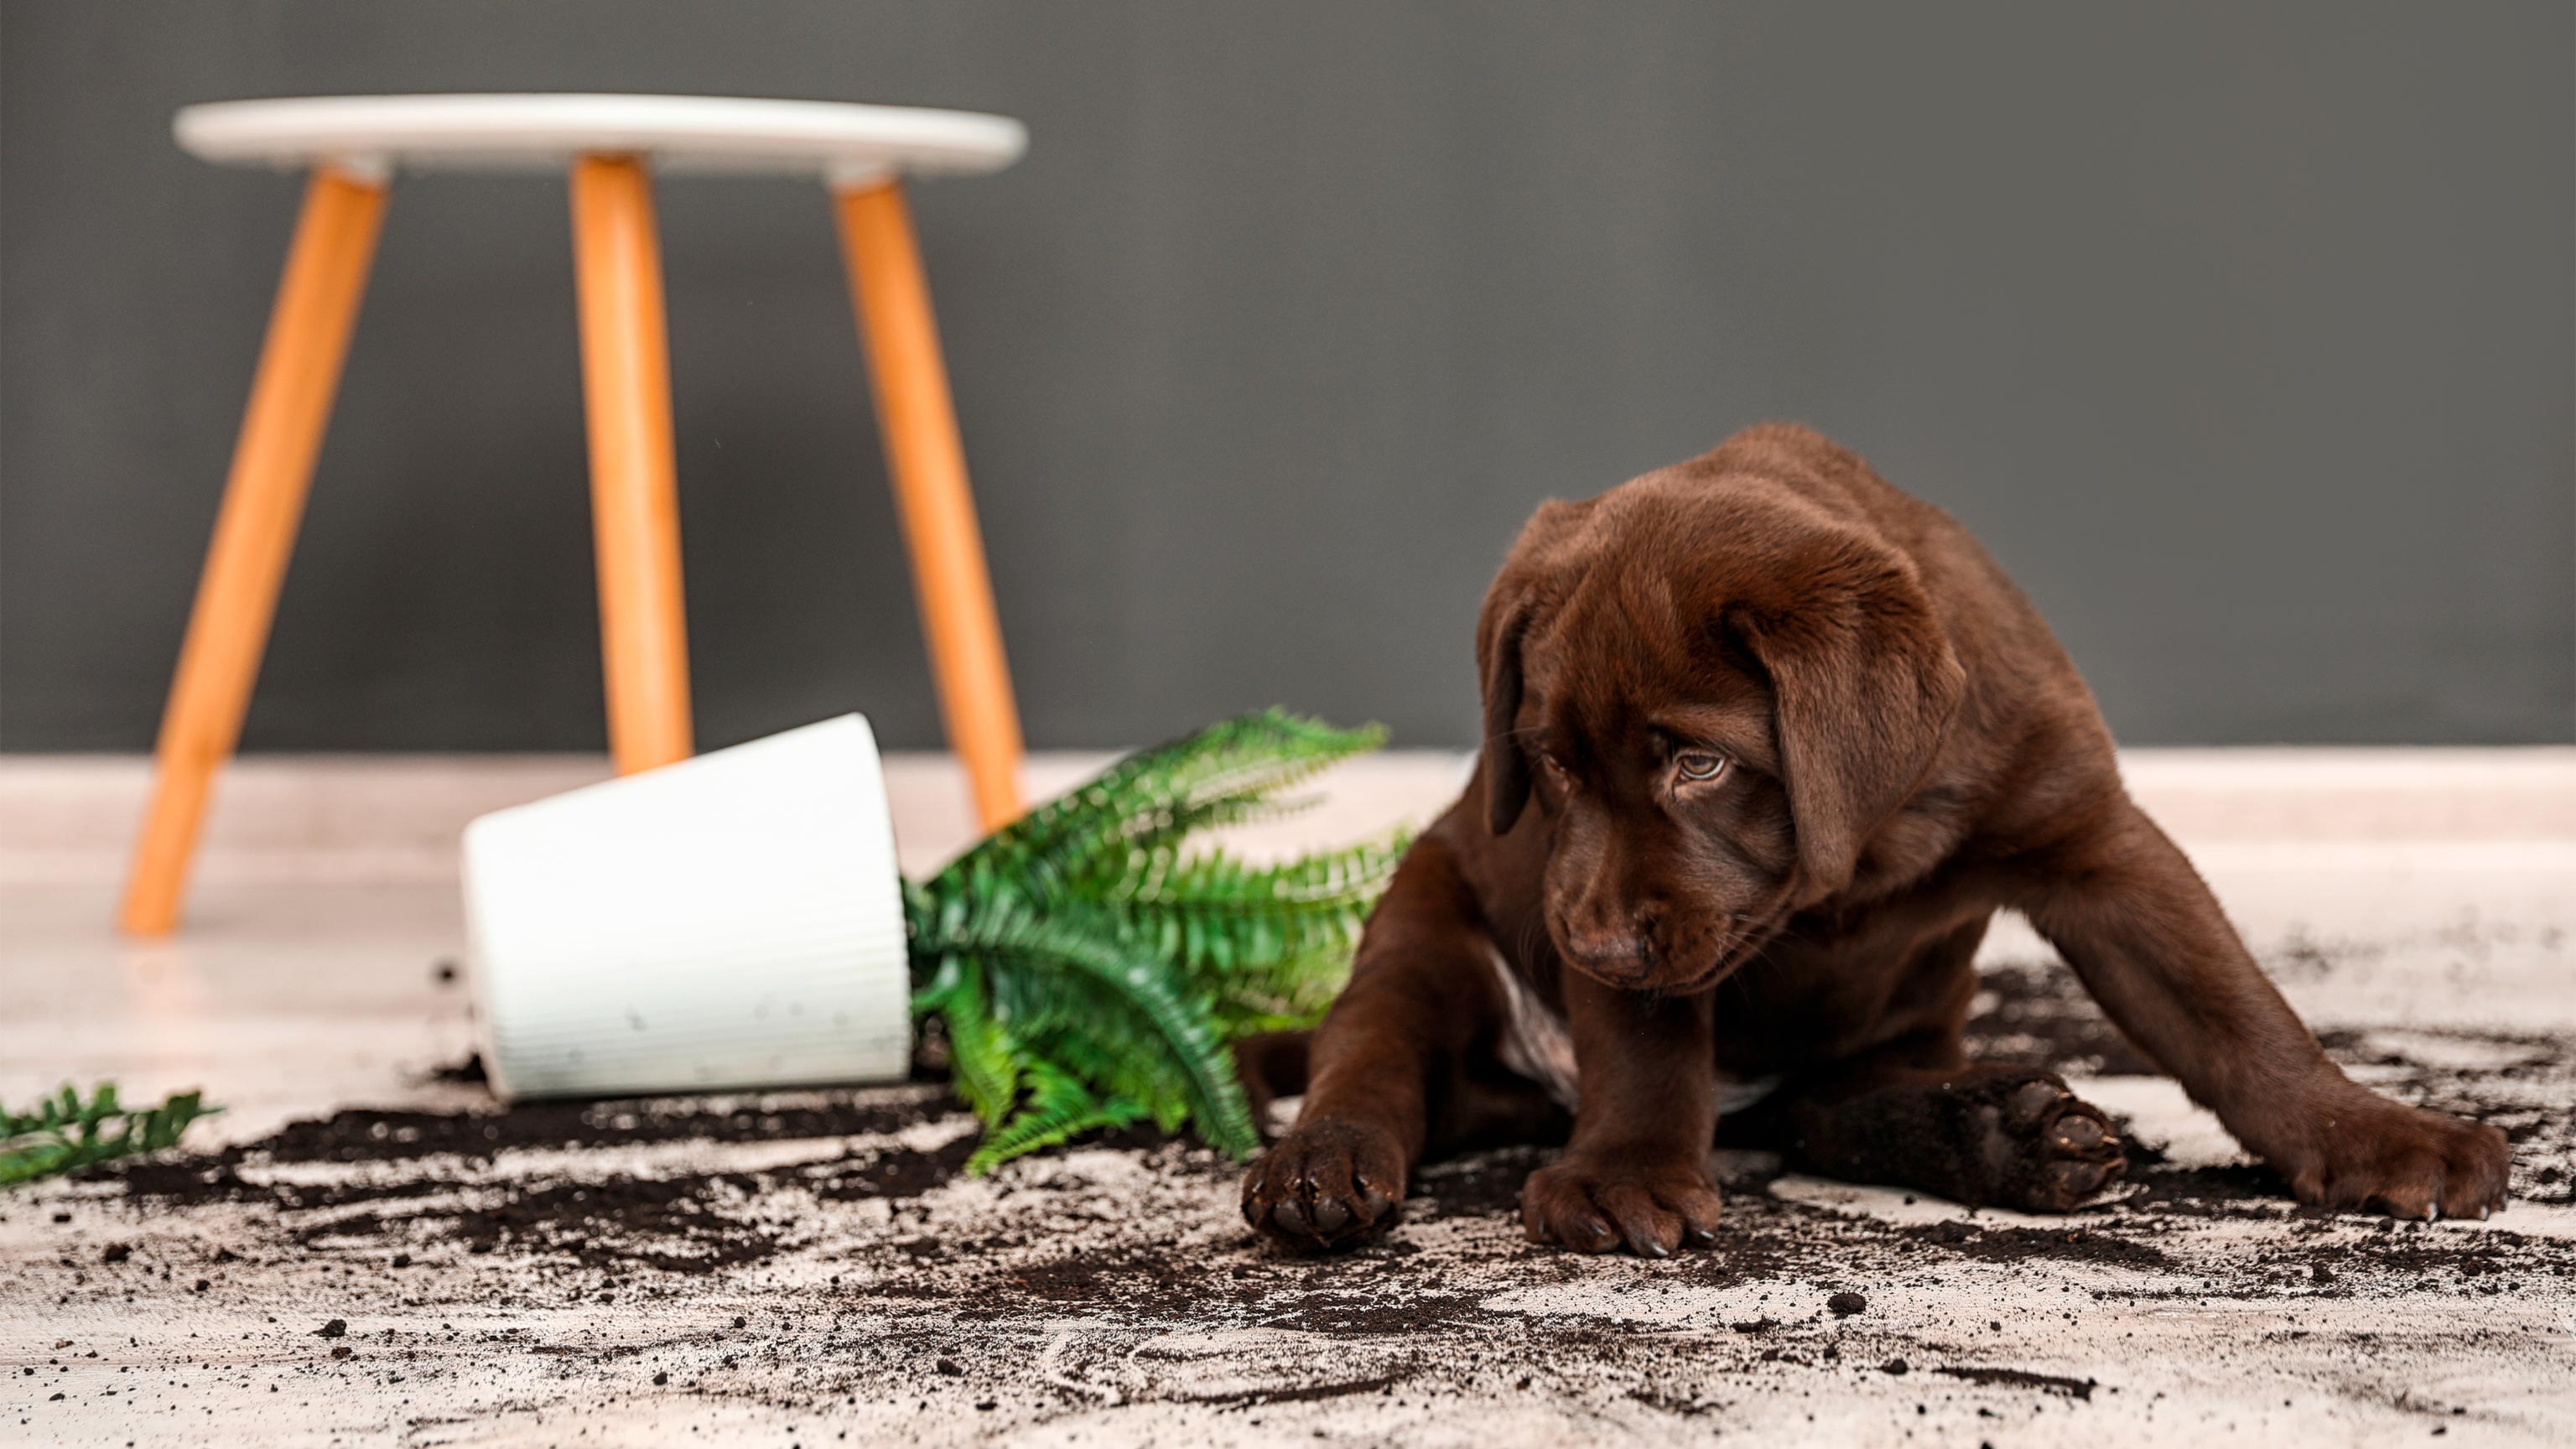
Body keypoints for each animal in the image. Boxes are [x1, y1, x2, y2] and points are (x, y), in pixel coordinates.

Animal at [1246, 420, 2514, 1253]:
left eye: (1700, 764)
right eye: (1551, 763)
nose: (1591, 952)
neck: (1864, 850)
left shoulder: (2095, 841)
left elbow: (2233, 1015)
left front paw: (2376, 1131)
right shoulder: (1598, 906)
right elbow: (1647, 1047)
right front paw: (1625, 1175)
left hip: (1898, 1027)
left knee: (1829, 1109)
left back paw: (2008, 1135)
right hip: (1423, 918)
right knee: (1372, 1053)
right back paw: (1319, 1165)